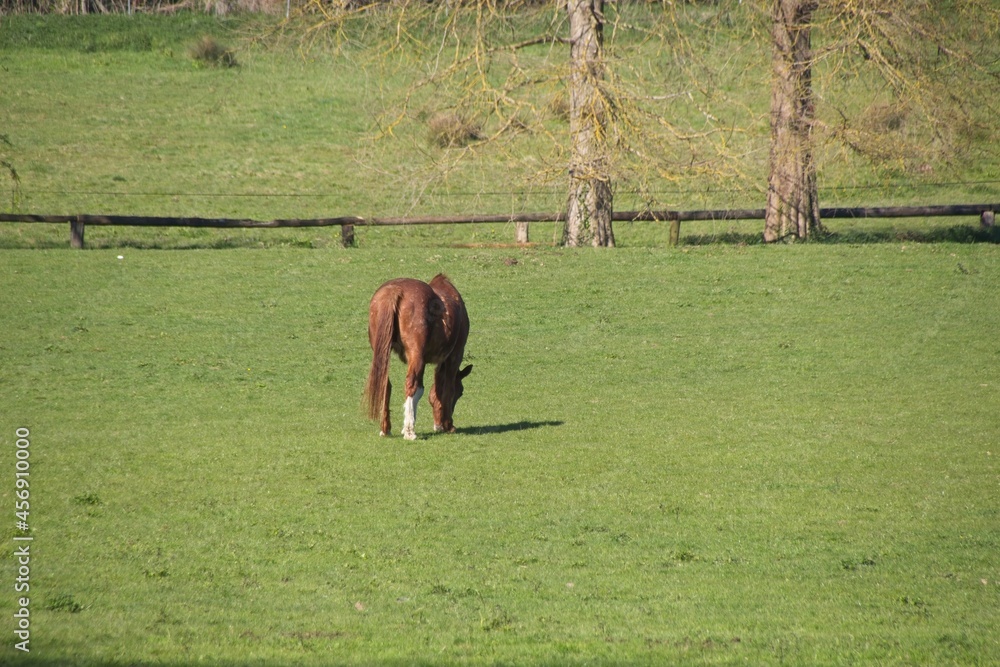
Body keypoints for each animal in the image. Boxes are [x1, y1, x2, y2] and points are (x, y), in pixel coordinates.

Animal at [364, 274, 472, 440]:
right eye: (460, 392)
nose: (439, 425)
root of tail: (395, 290)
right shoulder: (454, 356)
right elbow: (446, 388)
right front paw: (448, 425)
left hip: (383, 353)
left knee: (386, 385)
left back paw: (386, 428)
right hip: (417, 356)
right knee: (411, 385)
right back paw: (410, 432)